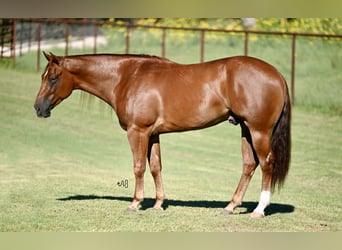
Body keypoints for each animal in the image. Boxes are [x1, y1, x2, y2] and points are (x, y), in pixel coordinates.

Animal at [34, 51, 290, 218]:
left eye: (53, 78)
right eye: (44, 77)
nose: (38, 108)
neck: (128, 76)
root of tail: (277, 74)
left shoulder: (137, 131)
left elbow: (138, 166)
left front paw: (135, 203)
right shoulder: (153, 134)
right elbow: (156, 167)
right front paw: (158, 204)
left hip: (258, 131)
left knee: (266, 163)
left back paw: (259, 209)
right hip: (245, 129)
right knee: (249, 165)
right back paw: (230, 206)